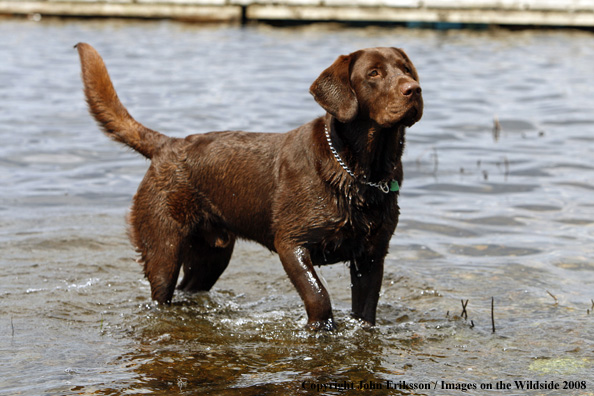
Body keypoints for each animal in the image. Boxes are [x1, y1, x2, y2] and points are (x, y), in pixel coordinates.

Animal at [76, 43, 420, 330]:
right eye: (374, 73)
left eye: (406, 69)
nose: (414, 89)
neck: (360, 172)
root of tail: (167, 145)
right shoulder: (291, 244)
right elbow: (318, 295)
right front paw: (320, 329)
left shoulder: (372, 254)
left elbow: (365, 310)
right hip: (163, 247)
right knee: (163, 291)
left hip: (211, 255)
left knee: (190, 287)